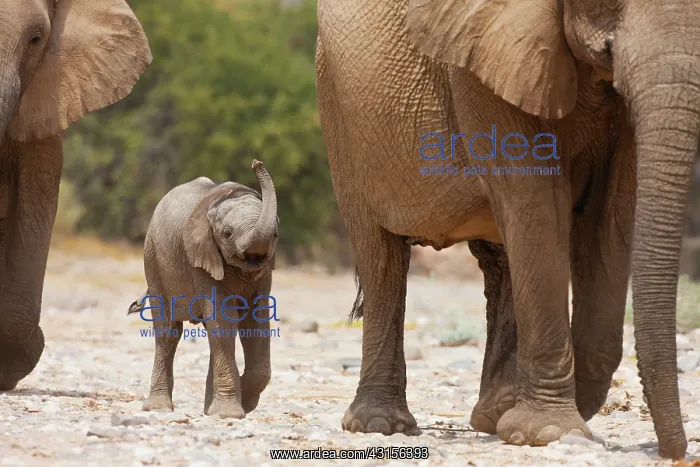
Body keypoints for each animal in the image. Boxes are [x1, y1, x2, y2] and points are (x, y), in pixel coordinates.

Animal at [127, 160, 279, 419]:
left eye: (276, 235)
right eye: (227, 234)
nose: (256, 162)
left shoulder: (264, 272)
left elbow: (255, 322)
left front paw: (243, 403)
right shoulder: (199, 258)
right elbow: (223, 322)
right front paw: (231, 412)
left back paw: (209, 410)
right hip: (152, 259)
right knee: (168, 332)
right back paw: (159, 408)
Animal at [315, 0, 697, 459]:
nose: (675, 452)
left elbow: (612, 211)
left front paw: (527, 421)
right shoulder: (481, 64)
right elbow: (538, 203)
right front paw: (548, 432)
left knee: (501, 258)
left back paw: (493, 415)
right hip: (340, 116)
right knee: (382, 256)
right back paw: (381, 424)